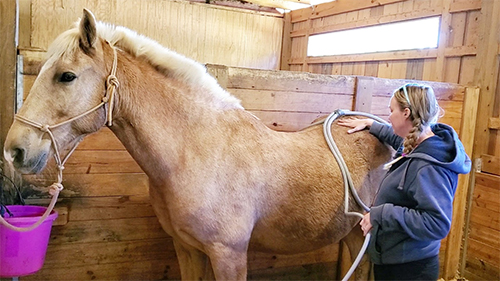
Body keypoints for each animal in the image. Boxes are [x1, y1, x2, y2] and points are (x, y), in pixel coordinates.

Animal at [5, 9, 392, 280]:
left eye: (66, 76)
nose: (15, 150)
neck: (197, 153)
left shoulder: (228, 254)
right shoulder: (188, 249)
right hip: (353, 235)